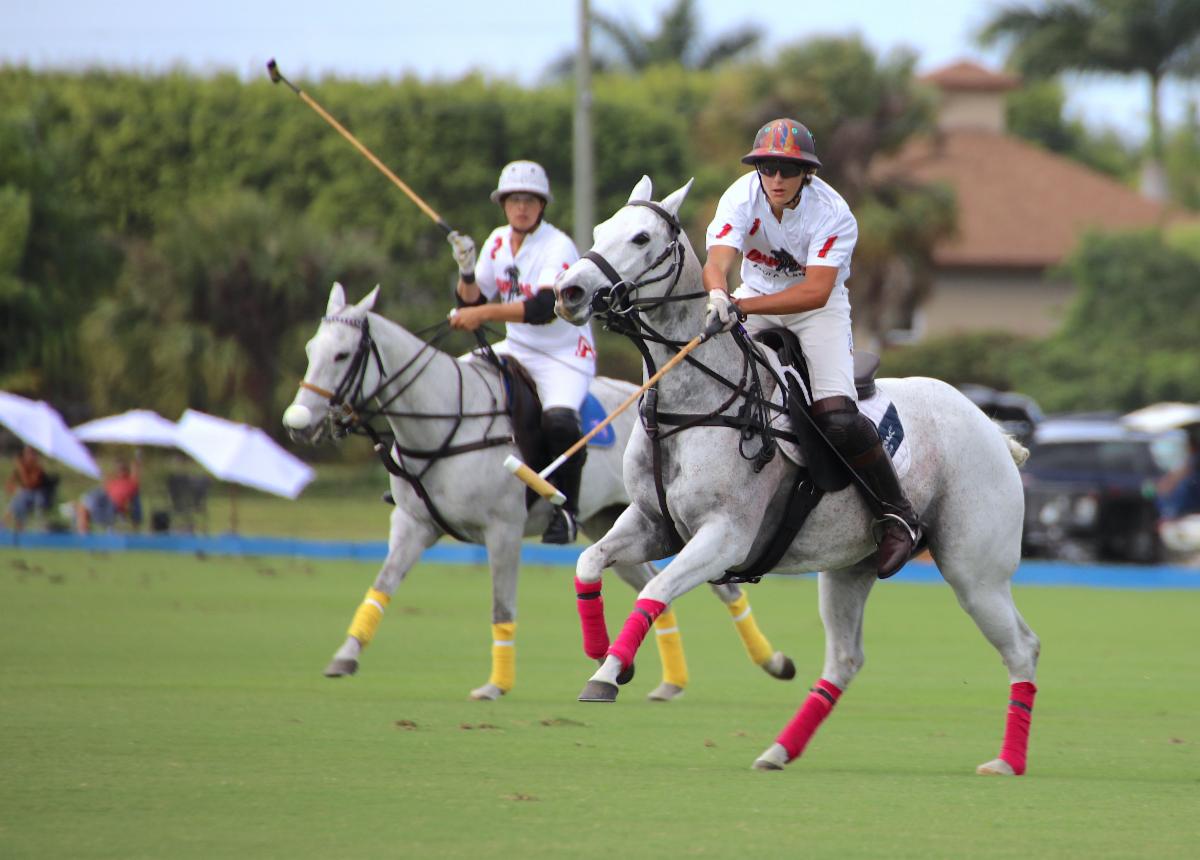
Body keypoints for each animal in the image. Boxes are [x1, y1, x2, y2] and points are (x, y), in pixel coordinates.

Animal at [281, 282, 798, 701]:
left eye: (342, 356)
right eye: (309, 348)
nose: (298, 423)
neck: (446, 418)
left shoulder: (502, 529)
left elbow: (500, 605)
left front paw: (495, 685)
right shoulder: (414, 524)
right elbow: (382, 584)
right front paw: (345, 656)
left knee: (725, 589)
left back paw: (772, 662)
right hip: (605, 522)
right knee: (650, 580)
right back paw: (662, 680)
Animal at [553, 177, 1041, 776]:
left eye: (641, 237)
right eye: (600, 230)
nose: (569, 292)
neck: (693, 406)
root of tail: (994, 430)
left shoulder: (726, 537)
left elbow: (657, 589)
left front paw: (605, 673)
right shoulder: (653, 524)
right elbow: (588, 561)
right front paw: (604, 656)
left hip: (976, 571)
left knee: (1022, 648)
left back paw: (1007, 762)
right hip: (851, 568)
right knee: (846, 659)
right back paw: (779, 751)